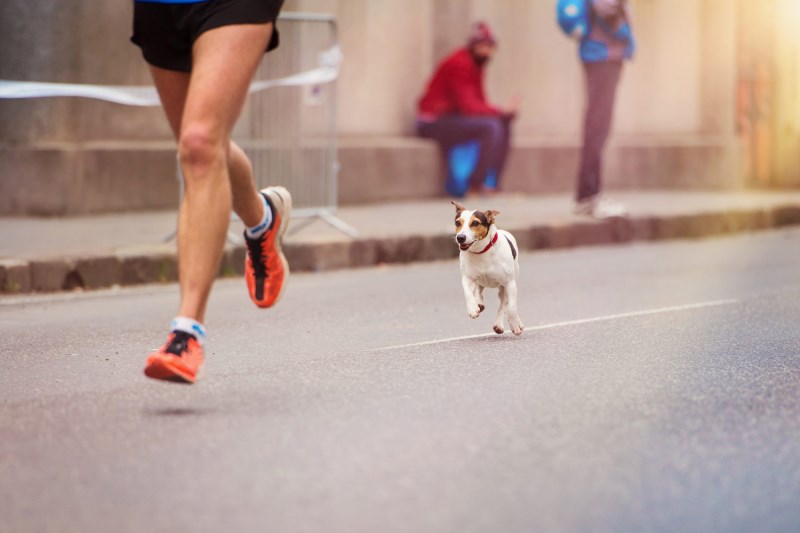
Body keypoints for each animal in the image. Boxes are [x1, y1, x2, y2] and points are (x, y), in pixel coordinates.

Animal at [450, 202, 524, 334]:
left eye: (475, 223)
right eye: (458, 222)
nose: (460, 237)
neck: (481, 252)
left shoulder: (509, 283)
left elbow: (511, 307)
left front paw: (515, 325)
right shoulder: (467, 277)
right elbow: (467, 292)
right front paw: (473, 308)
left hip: (505, 285)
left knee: (503, 304)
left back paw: (499, 324)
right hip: (479, 280)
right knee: (479, 290)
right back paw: (478, 303)